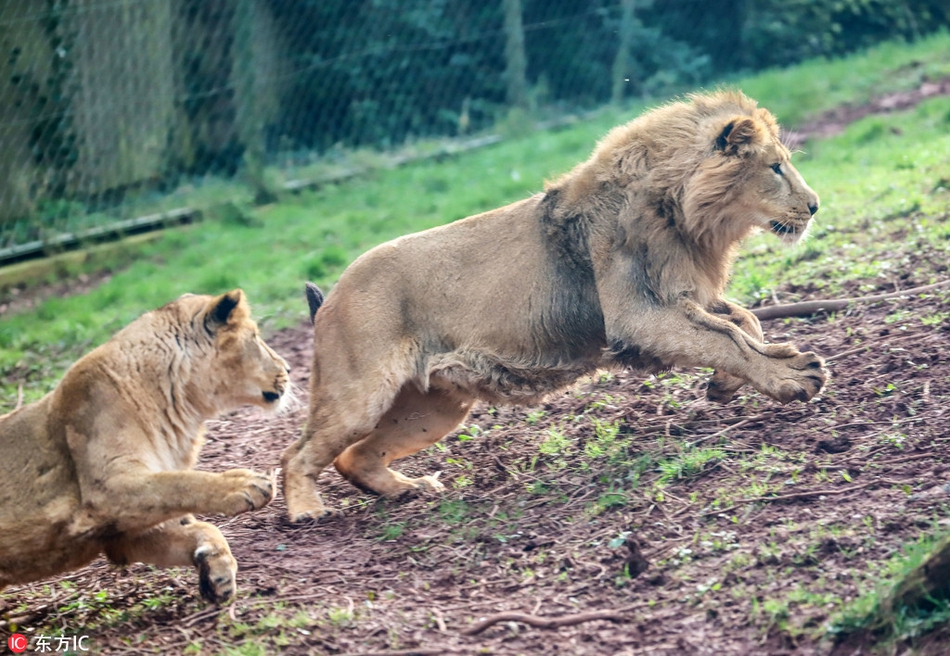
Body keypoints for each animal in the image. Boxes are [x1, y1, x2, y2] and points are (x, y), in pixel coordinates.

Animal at [0, 290, 298, 604]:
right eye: (255, 337)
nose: (289, 368)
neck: (182, 408)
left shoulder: (121, 535)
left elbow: (201, 526)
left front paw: (217, 574)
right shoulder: (107, 488)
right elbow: (180, 482)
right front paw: (244, 483)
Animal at [280, 89, 824, 520]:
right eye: (776, 167)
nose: (816, 205)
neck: (687, 218)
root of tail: (332, 297)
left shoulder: (681, 296)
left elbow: (743, 321)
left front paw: (728, 383)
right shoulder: (637, 316)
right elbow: (728, 336)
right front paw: (793, 375)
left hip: (431, 409)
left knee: (354, 458)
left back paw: (407, 489)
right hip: (359, 394)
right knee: (296, 453)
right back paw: (306, 511)